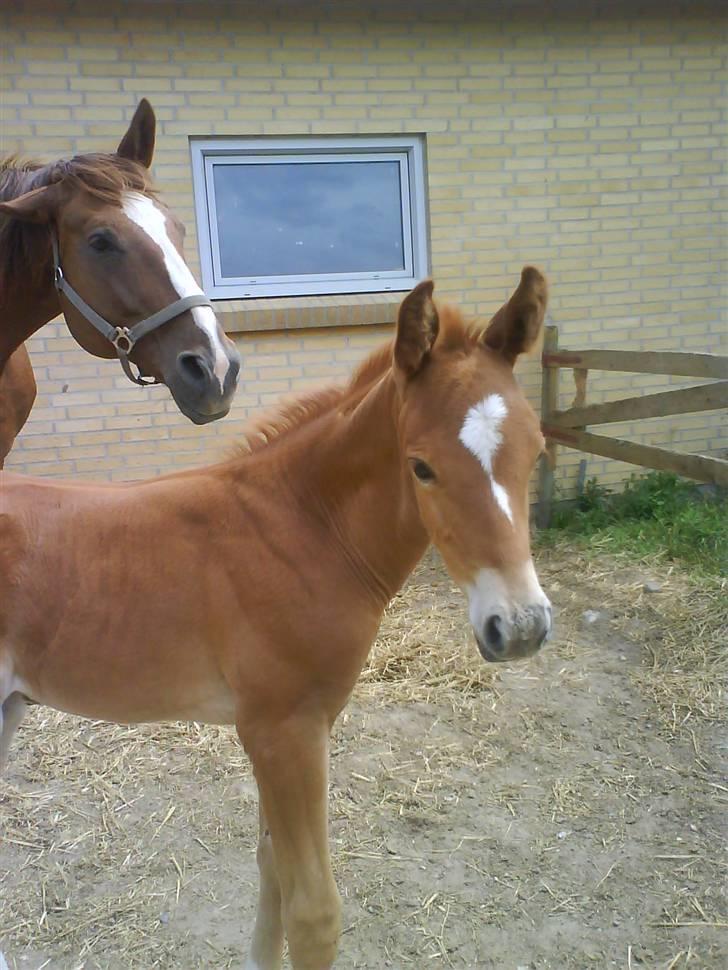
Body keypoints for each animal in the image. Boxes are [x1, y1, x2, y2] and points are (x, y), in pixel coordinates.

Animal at [1, 266, 552, 968]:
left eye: (536, 452)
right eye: (422, 466)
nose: (522, 626)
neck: (304, 526)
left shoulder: (285, 729)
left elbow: (271, 871)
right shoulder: (284, 730)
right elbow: (313, 912)